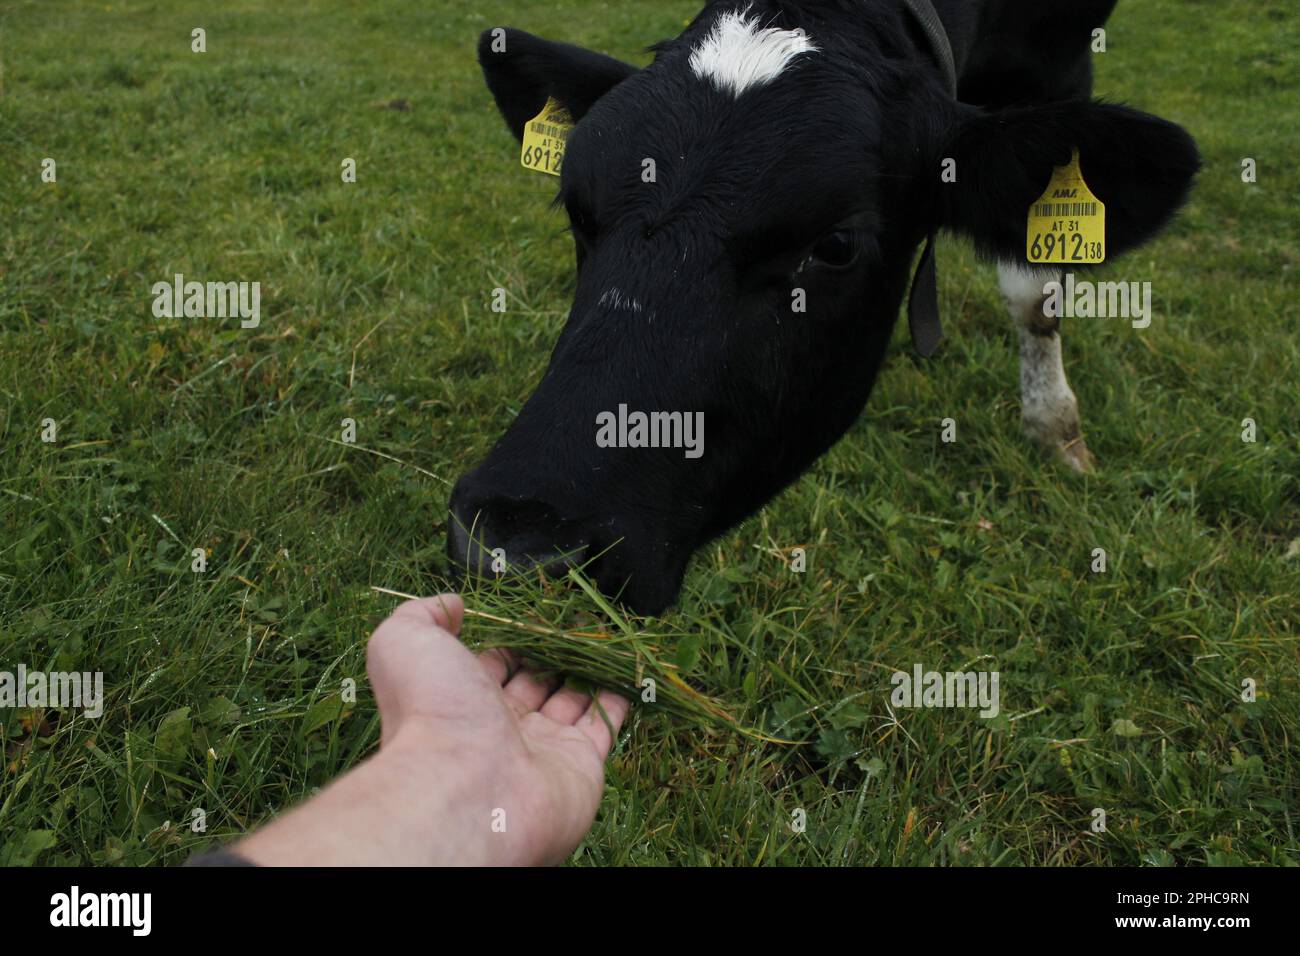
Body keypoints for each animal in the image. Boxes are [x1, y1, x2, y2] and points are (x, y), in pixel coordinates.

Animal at [448, 0, 1200, 614]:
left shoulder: (1060, 63)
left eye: (835, 246)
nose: (517, 538)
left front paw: (1055, 428)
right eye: (576, 209)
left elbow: (1035, 292)